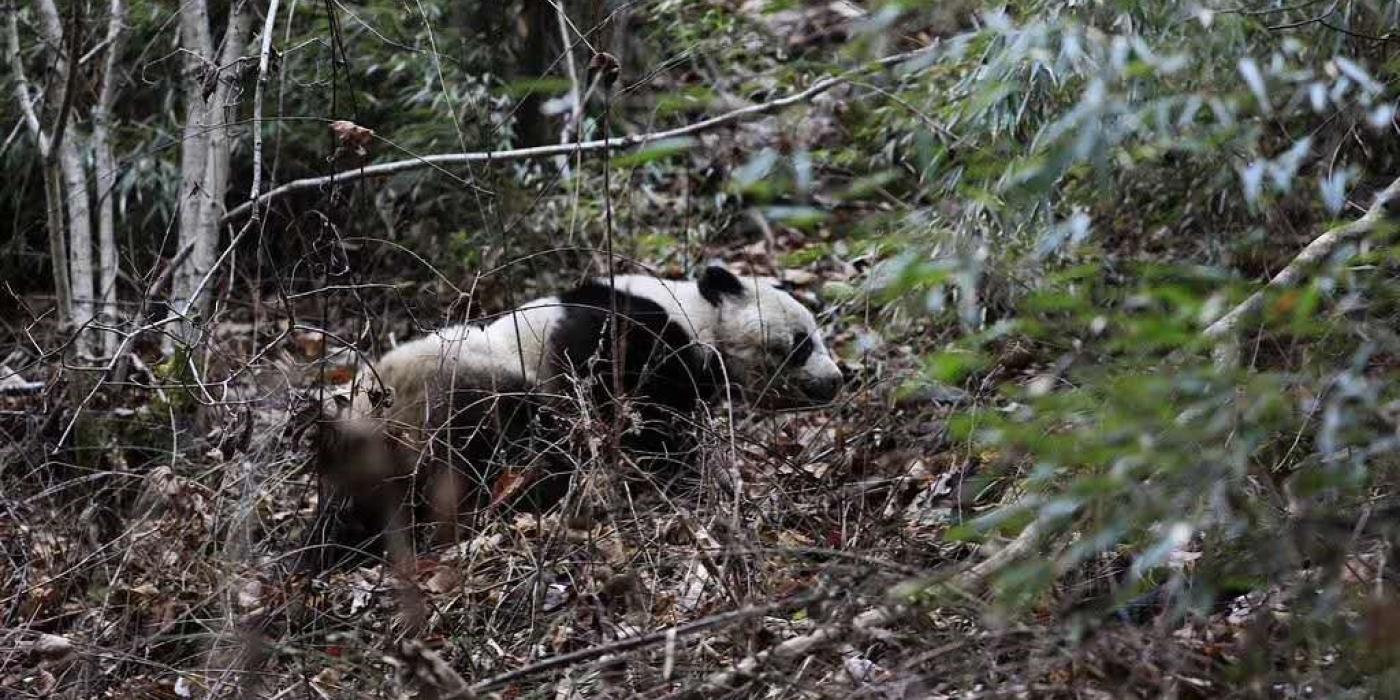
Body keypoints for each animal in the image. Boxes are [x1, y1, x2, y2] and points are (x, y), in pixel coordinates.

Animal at [312, 264, 840, 560]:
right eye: (802, 343)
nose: (837, 379)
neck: (697, 316)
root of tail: (378, 400)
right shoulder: (627, 336)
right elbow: (633, 407)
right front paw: (677, 471)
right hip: (465, 394)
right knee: (488, 454)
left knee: (351, 511)